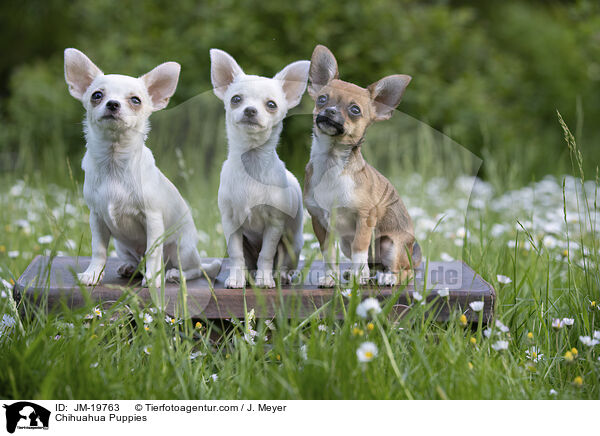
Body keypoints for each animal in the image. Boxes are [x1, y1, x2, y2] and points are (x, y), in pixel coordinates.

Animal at [64, 47, 219, 288]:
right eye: (96, 95)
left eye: (135, 100)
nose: (112, 104)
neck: (114, 160)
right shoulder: (97, 218)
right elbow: (98, 250)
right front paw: (92, 274)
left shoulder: (153, 220)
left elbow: (153, 252)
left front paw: (153, 279)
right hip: (122, 246)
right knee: (137, 260)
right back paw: (131, 268)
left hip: (182, 249)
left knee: (193, 269)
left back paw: (173, 274)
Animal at [211, 49, 310, 288]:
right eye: (236, 99)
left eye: (271, 104)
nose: (250, 110)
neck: (251, 161)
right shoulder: (231, 223)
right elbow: (236, 254)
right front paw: (236, 279)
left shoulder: (274, 225)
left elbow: (266, 253)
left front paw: (265, 280)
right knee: (247, 260)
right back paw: (248, 275)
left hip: (292, 244)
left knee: (281, 261)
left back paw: (280, 276)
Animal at [302, 46, 420, 288]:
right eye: (322, 99)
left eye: (355, 110)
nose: (330, 111)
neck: (331, 163)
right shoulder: (319, 222)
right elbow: (328, 253)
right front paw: (331, 278)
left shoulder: (364, 220)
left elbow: (360, 248)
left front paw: (358, 279)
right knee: (371, 264)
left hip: (391, 245)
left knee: (404, 272)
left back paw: (386, 277)